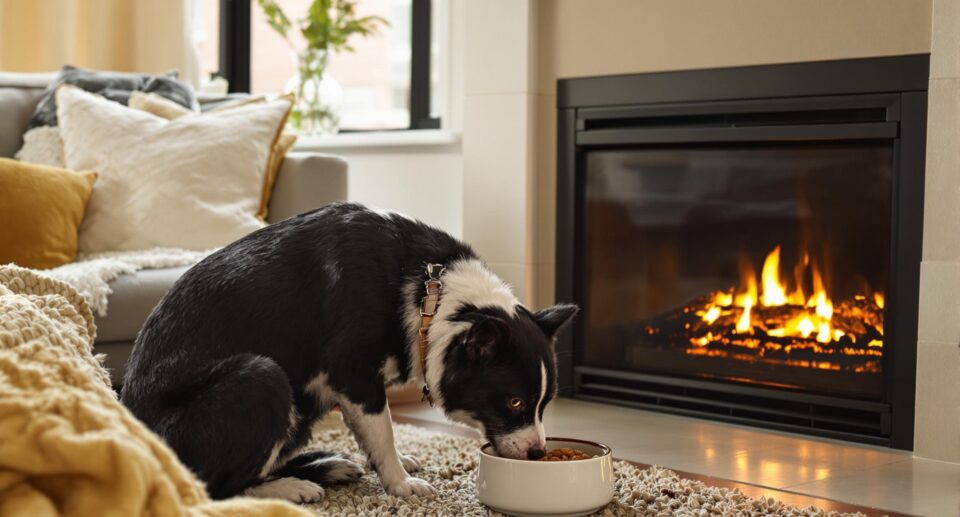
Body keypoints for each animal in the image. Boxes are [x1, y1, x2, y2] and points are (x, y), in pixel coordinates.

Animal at [124, 204, 580, 502]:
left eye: (545, 405)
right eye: (515, 402)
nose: (538, 453)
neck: (428, 291)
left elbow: (372, 434)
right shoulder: (355, 375)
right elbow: (384, 431)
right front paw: (400, 483)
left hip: (299, 408)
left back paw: (326, 466)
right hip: (262, 378)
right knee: (212, 488)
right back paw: (291, 487)